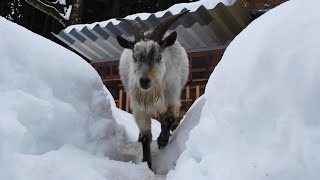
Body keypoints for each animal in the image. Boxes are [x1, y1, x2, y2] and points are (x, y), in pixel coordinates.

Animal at [115, 10, 189, 169]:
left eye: (159, 56)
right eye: (134, 57)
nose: (144, 81)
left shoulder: (172, 96)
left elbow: (169, 118)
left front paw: (162, 140)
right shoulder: (139, 108)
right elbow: (146, 137)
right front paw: (147, 164)